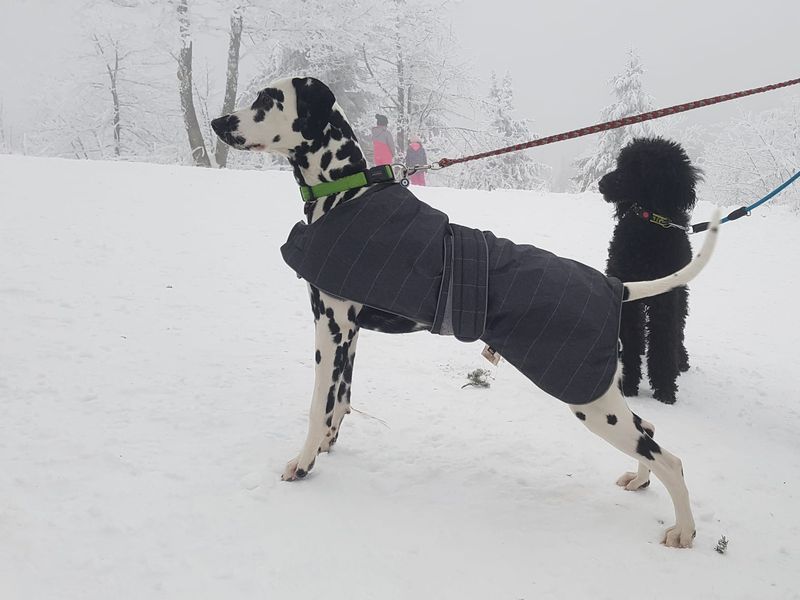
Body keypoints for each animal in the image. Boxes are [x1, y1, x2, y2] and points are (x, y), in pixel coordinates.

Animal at [599, 138, 702, 404]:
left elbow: (663, 339)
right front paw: (629, 385)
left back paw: (680, 360)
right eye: (621, 162)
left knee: (678, 329)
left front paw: (665, 388)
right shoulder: (629, 294)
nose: (602, 183)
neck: (648, 227)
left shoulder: (666, 298)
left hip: (680, 295)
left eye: (640, 169)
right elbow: (633, 339)